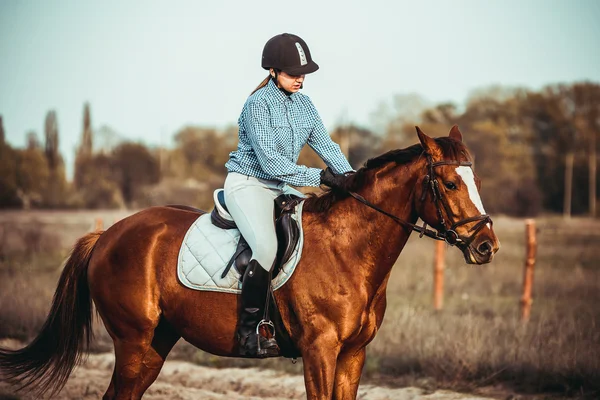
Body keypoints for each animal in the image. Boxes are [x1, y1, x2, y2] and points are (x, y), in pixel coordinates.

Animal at [0, 126, 496, 400]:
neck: (350, 251)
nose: (486, 245)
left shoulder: (353, 354)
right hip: (133, 340)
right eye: (450, 184)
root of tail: (107, 235)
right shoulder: (320, 351)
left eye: (475, 179)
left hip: (156, 343)